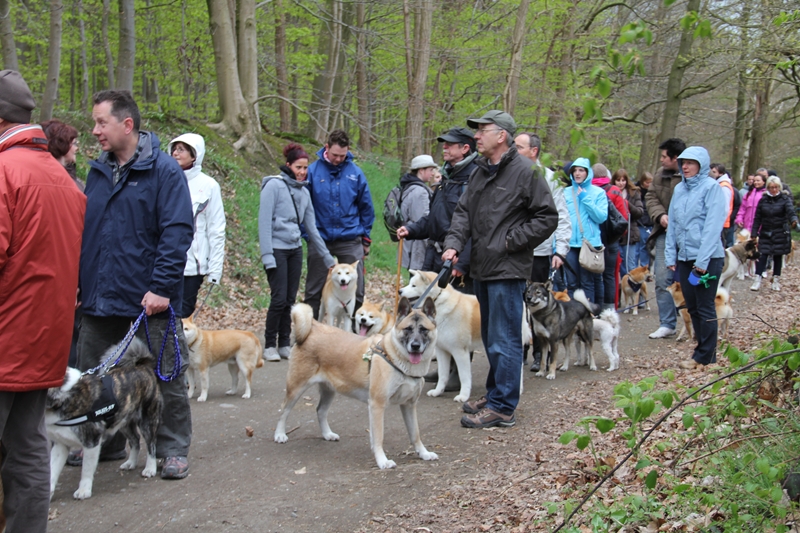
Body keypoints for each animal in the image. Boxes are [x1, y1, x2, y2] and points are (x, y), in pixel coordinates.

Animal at [45, 336, 164, 498]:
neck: (67, 394)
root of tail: (142, 365)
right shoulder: (61, 444)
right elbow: (52, 472)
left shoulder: (91, 443)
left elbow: (86, 470)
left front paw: (84, 490)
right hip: (123, 421)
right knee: (135, 441)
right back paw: (131, 463)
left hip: (147, 421)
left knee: (151, 444)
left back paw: (150, 468)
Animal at [274, 298, 438, 468]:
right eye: (408, 329)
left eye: (424, 330)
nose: (415, 346)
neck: (393, 356)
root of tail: (313, 326)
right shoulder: (377, 405)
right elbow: (379, 437)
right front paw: (382, 461)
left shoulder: (409, 405)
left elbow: (415, 434)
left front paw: (424, 453)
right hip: (296, 388)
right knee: (283, 411)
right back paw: (279, 434)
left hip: (329, 390)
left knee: (320, 411)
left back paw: (327, 434)